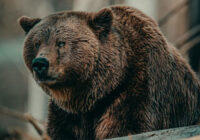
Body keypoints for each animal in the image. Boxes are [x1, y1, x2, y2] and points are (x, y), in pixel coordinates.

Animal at [18, 5, 200, 140]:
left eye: (61, 42)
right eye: (36, 43)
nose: (40, 63)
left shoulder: (138, 87)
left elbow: (127, 126)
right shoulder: (67, 113)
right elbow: (60, 131)